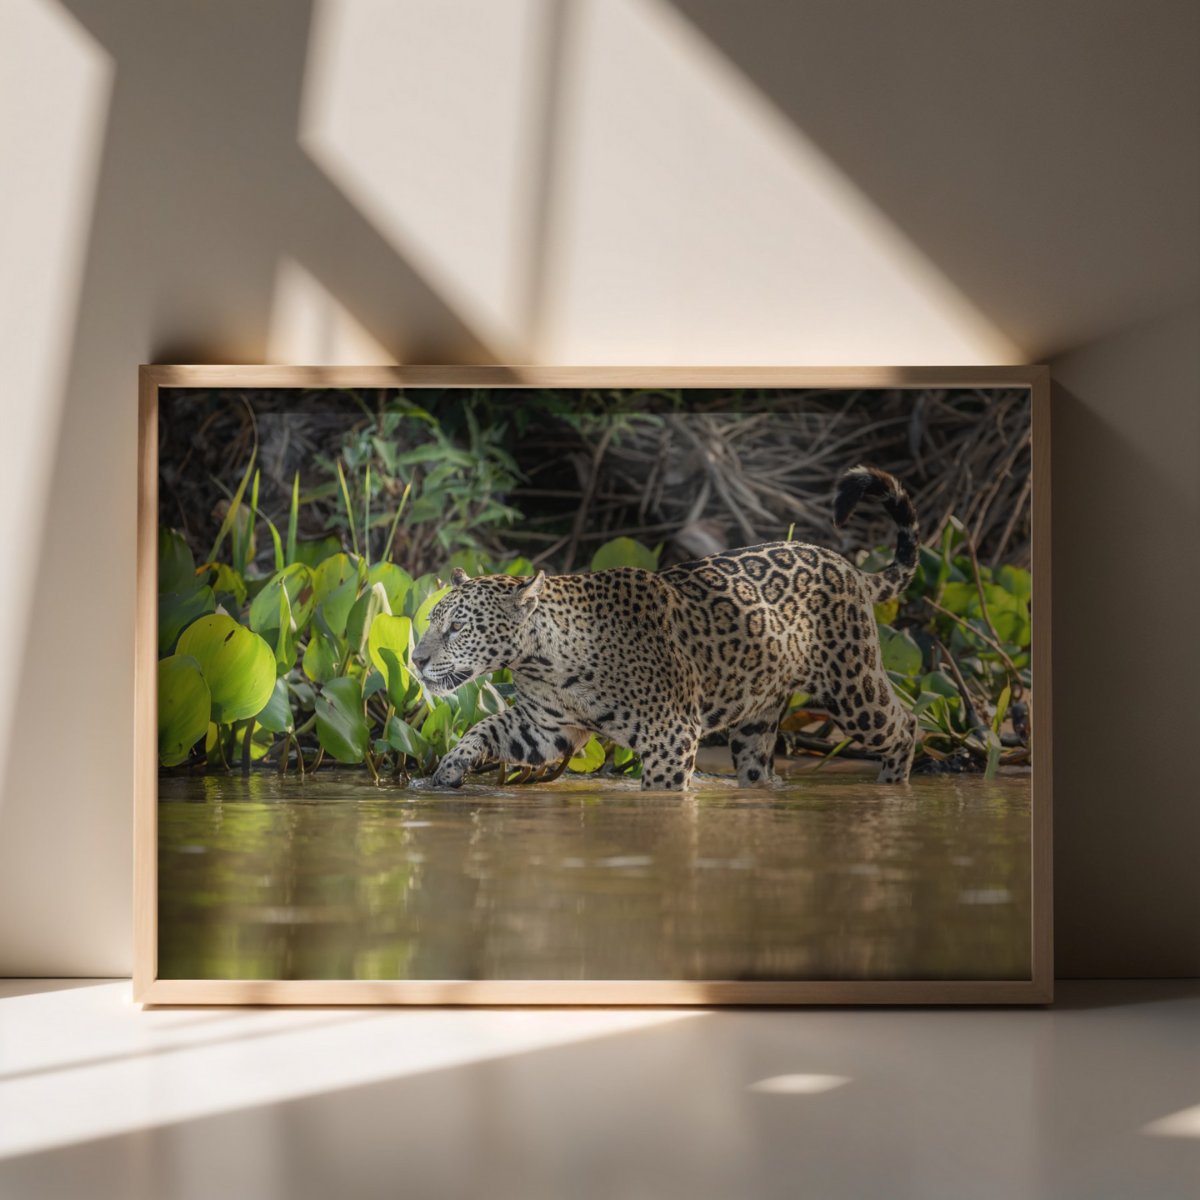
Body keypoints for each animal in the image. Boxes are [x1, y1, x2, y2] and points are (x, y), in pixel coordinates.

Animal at [411, 465, 920, 791]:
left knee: (906, 725)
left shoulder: (670, 737)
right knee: (759, 768)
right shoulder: (544, 727)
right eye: (431, 622)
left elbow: (661, 794)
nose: (414, 660)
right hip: (757, 718)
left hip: (853, 688)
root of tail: (849, 566)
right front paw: (445, 773)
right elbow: (482, 729)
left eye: (457, 626)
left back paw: (892, 787)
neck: (545, 663)